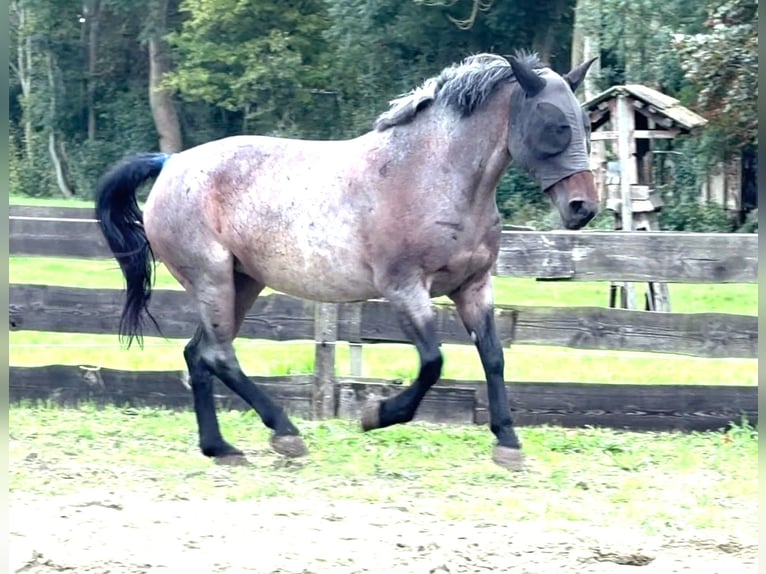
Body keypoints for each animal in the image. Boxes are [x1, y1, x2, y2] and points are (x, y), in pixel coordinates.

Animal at [95, 52, 598, 470]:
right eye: (556, 125)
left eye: (586, 126)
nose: (583, 208)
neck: (431, 174)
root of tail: (170, 162)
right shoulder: (404, 288)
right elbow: (432, 361)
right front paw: (377, 414)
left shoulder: (473, 286)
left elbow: (493, 357)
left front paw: (507, 443)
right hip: (212, 279)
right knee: (219, 355)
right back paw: (286, 434)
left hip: (242, 283)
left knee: (198, 356)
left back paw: (220, 448)